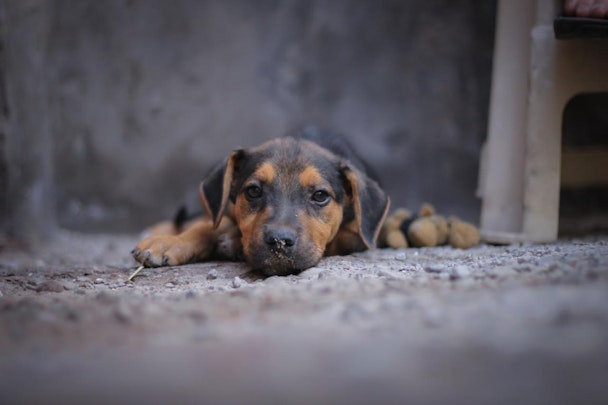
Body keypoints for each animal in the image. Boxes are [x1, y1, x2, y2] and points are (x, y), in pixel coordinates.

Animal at [132, 128, 390, 276]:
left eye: (320, 196)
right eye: (254, 191)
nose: (279, 242)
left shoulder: (361, 236)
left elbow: (337, 240)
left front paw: (232, 240)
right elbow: (206, 225)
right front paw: (168, 243)